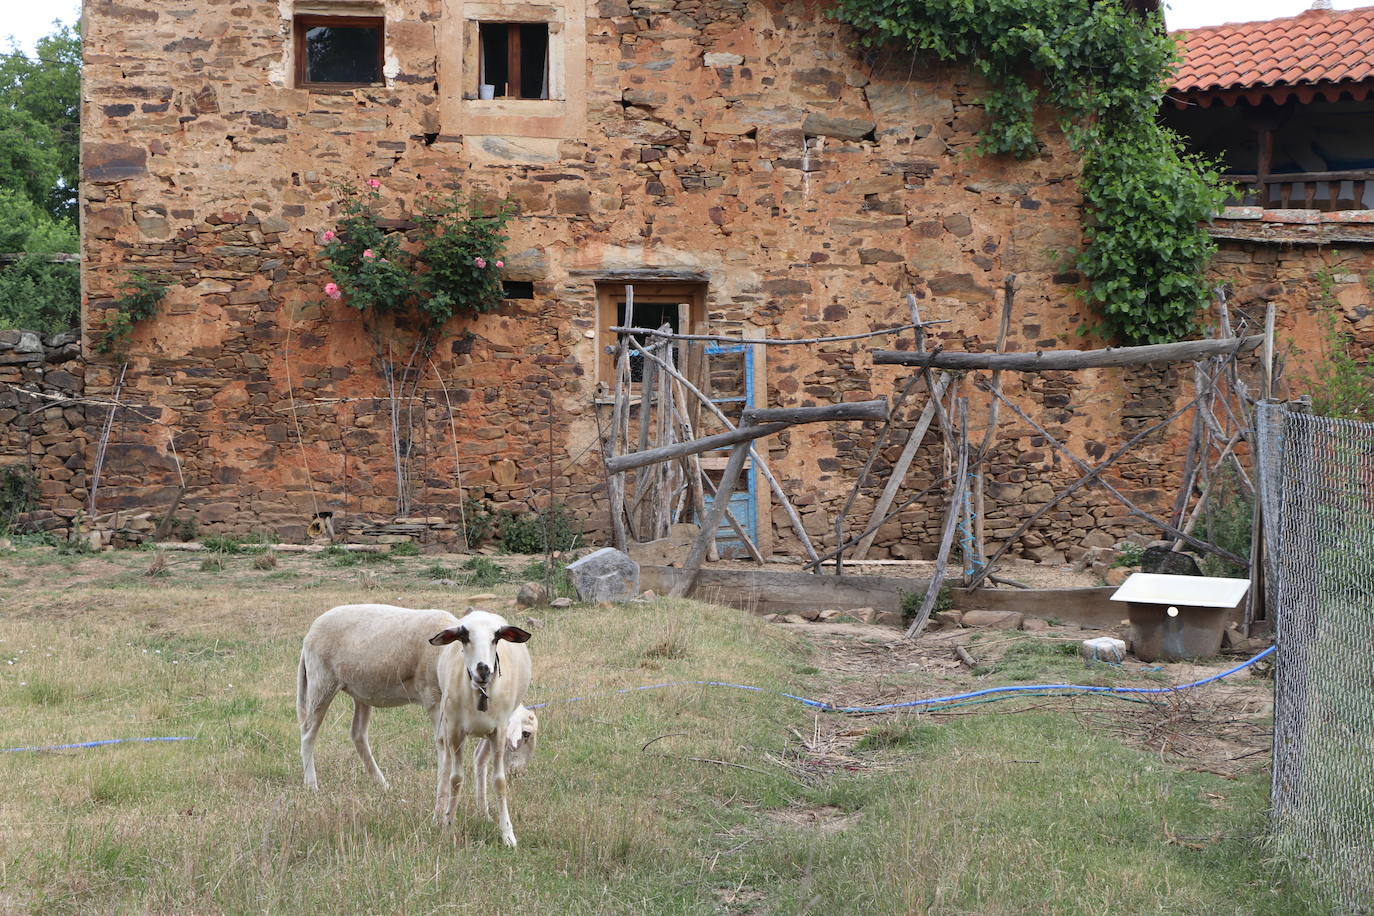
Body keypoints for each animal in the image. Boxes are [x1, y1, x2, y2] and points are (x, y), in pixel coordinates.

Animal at [431, 612, 533, 851]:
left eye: (496, 637)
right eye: (464, 635)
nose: (483, 669)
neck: (480, 692)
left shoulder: (499, 731)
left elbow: (500, 781)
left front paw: (507, 834)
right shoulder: (455, 731)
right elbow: (456, 779)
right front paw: (449, 826)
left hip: (490, 732)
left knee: (479, 760)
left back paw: (484, 813)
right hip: (447, 727)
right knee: (445, 767)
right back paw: (439, 815)